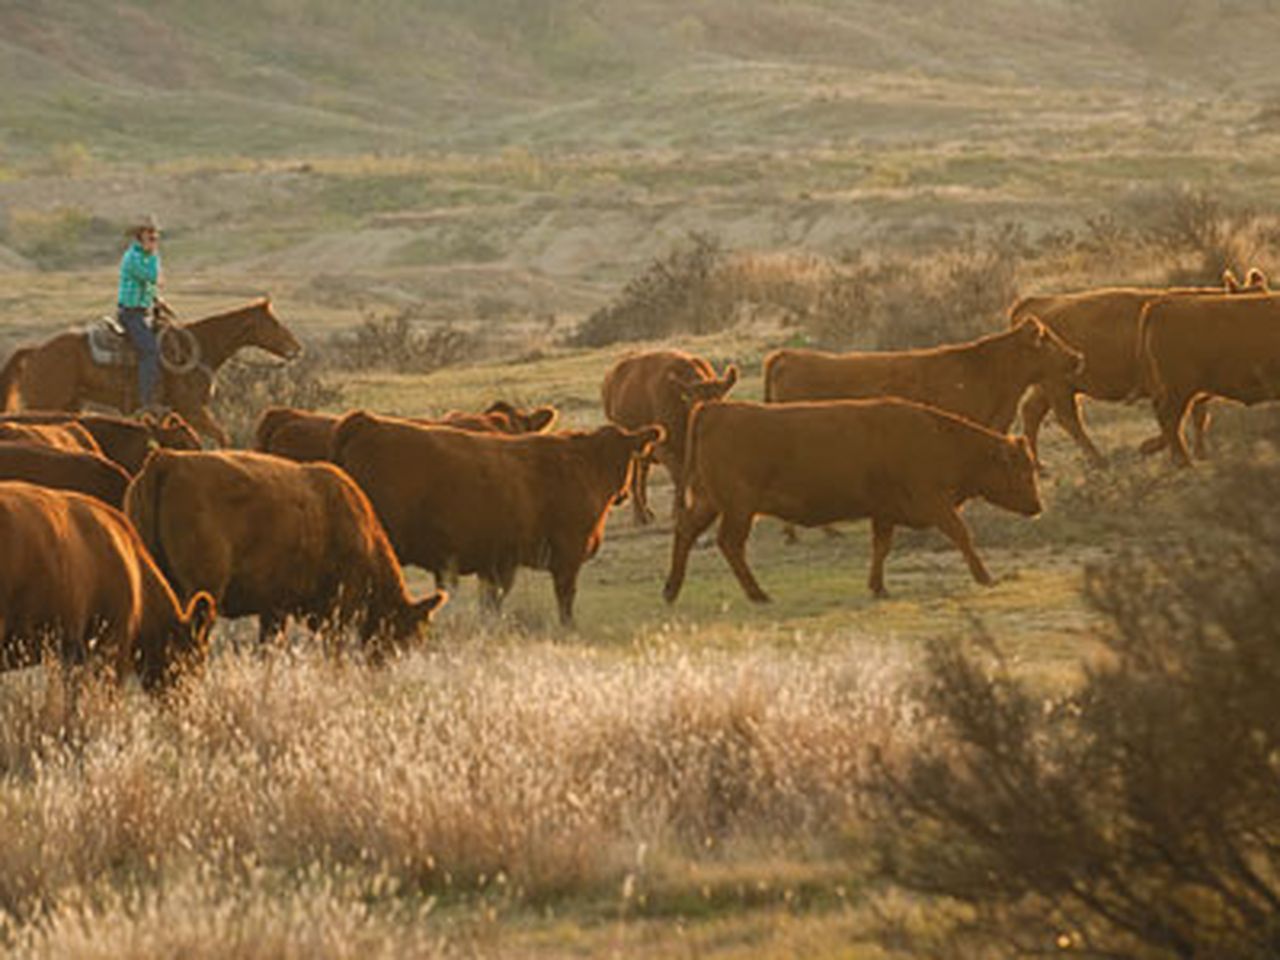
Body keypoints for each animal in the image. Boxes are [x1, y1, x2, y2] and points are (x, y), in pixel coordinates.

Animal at [331, 411, 662, 625]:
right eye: (628, 459)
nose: (622, 495)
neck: (586, 467)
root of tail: (367, 422)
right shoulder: (567, 555)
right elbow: (565, 598)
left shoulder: (497, 562)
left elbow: (491, 604)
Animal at [601, 350, 738, 525]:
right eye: (696, 404)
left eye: (721, 401)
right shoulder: (663, 448)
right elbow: (679, 476)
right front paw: (679, 510)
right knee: (634, 478)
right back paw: (641, 516)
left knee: (642, 474)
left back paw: (647, 512)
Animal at [663, 398, 1042, 604]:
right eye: (1024, 471)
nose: (1037, 507)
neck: (938, 439)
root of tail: (716, 408)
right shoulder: (934, 504)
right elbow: (962, 534)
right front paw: (985, 577)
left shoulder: (885, 512)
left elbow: (881, 547)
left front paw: (878, 587)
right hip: (738, 509)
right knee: (730, 544)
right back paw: (758, 594)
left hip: (710, 503)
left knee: (686, 532)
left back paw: (671, 590)